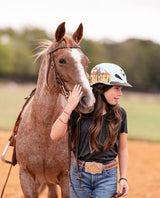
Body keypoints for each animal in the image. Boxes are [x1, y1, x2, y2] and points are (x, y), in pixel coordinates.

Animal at [15, 22, 95, 198]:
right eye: (62, 60)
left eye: (86, 61)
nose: (88, 101)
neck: (44, 129)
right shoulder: (26, 177)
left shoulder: (66, 180)